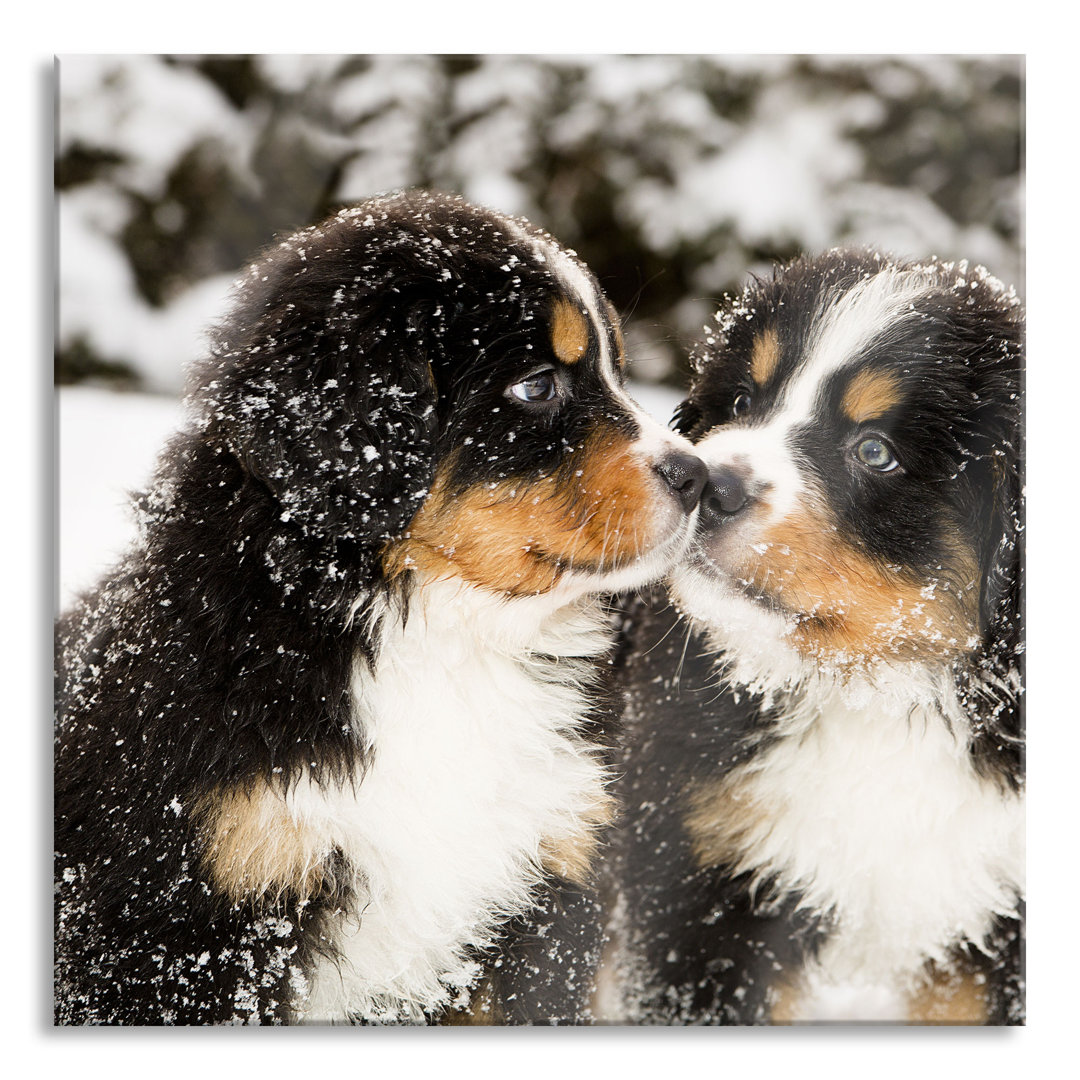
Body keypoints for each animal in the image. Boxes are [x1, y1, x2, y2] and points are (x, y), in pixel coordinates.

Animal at [56, 190, 708, 1023]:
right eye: (537, 386)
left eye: (618, 371)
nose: (699, 476)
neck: (443, 641)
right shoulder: (191, 924)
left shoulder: (545, 894)